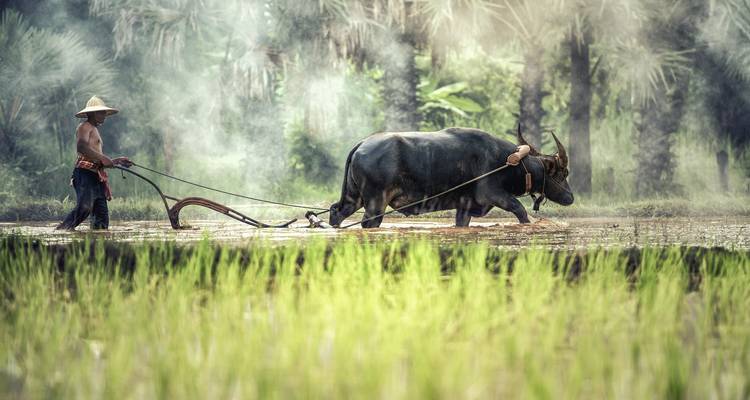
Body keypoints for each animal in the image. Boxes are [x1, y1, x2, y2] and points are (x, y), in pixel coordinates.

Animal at [329, 127, 574, 228]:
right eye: (563, 173)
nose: (570, 197)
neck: (508, 162)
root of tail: (362, 144)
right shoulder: (494, 194)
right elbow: (520, 211)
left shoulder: (464, 208)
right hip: (375, 203)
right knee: (368, 222)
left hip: (353, 197)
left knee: (336, 212)